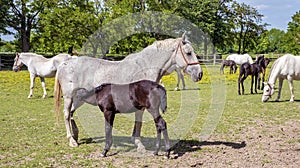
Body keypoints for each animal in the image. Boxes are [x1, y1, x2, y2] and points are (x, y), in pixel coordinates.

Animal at [54, 32, 203, 148]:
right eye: (188, 53)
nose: (199, 74)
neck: (145, 67)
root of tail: (65, 63)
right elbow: (138, 121)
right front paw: (138, 143)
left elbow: (138, 122)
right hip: (69, 97)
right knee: (66, 114)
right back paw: (72, 141)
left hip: (79, 99)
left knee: (71, 113)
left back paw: (76, 135)